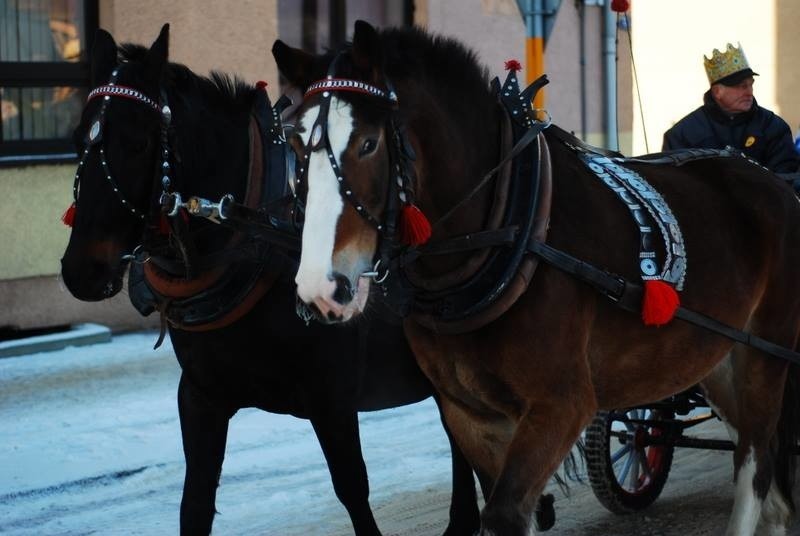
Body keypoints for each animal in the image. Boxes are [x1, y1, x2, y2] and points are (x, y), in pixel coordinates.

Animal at [59, 25, 484, 536]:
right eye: (78, 138)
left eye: (138, 143)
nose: (81, 270)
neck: (254, 239)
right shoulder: (201, 397)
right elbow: (194, 504)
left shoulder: (332, 400)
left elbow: (353, 491)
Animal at [274, 18, 800, 532]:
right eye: (296, 144)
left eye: (368, 143)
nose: (322, 287)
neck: (504, 233)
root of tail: (767, 180)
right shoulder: (470, 415)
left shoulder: (560, 405)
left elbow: (504, 512)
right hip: (716, 358)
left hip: (765, 354)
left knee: (754, 460)